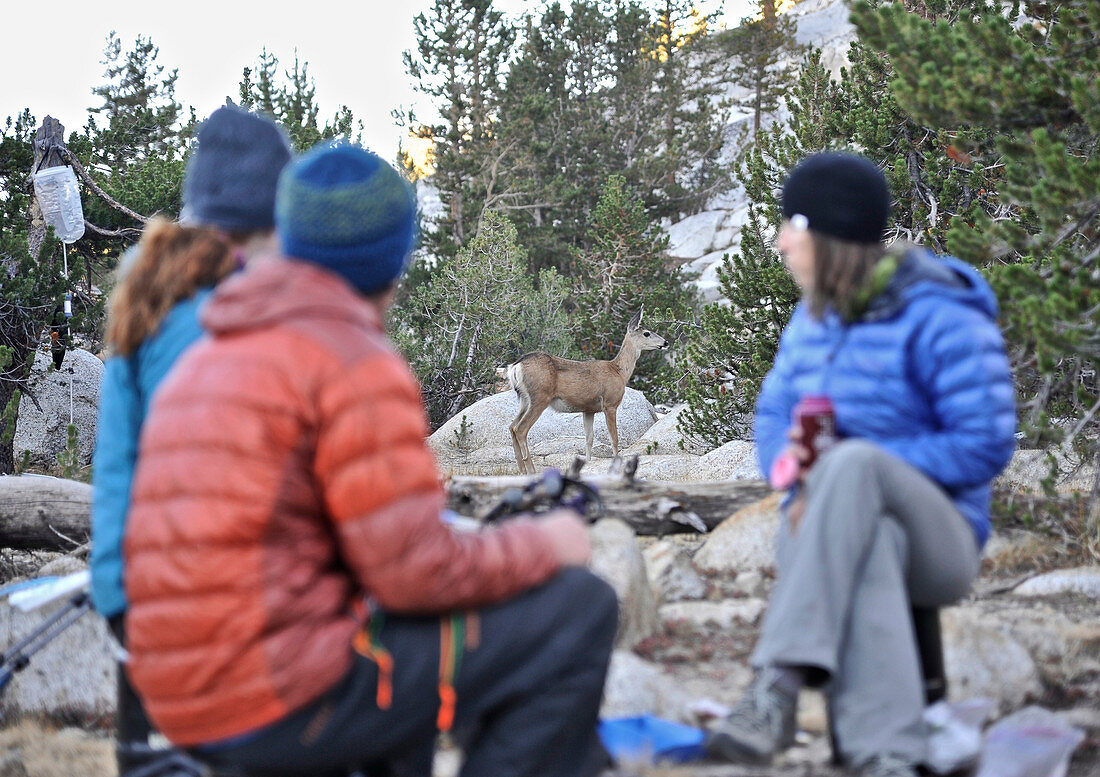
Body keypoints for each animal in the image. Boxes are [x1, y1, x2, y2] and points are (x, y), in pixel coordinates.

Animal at [506, 308, 668, 471]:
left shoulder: (588, 409)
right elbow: (614, 438)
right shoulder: (610, 403)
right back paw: (530, 469)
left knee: (512, 426)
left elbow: (589, 438)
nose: (665, 342)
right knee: (521, 429)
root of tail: (516, 366)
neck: (619, 372)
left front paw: (588, 462)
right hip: (540, 397)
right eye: (647, 333)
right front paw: (616, 460)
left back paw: (521, 469)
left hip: (524, 399)